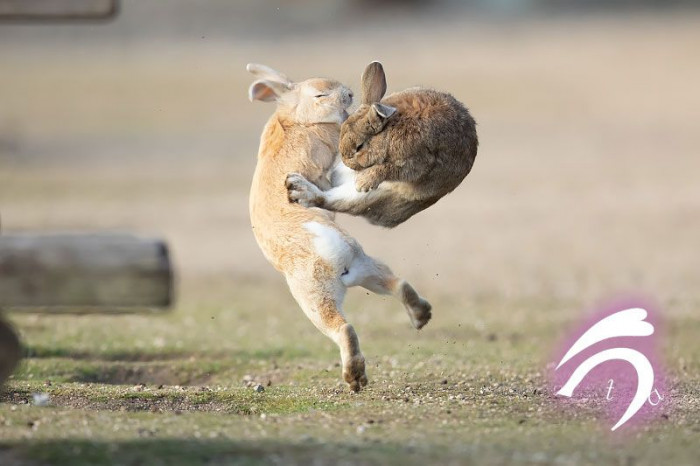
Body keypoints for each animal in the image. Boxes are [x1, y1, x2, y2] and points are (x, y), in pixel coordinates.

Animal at [247, 63, 432, 391]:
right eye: (320, 95)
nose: (348, 95)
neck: (298, 118)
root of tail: (324, 240)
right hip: (348, 278)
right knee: (387, 293)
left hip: (326, 291)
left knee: (349, 323)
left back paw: (357, 377)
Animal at [286, 61, 478, 228]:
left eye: (359, 147)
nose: (347, 163)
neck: (388, 131)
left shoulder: (417, 161)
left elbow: (389, 169)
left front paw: (364, 182)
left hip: (374, 195)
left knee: (330, 200)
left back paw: (298, 188)